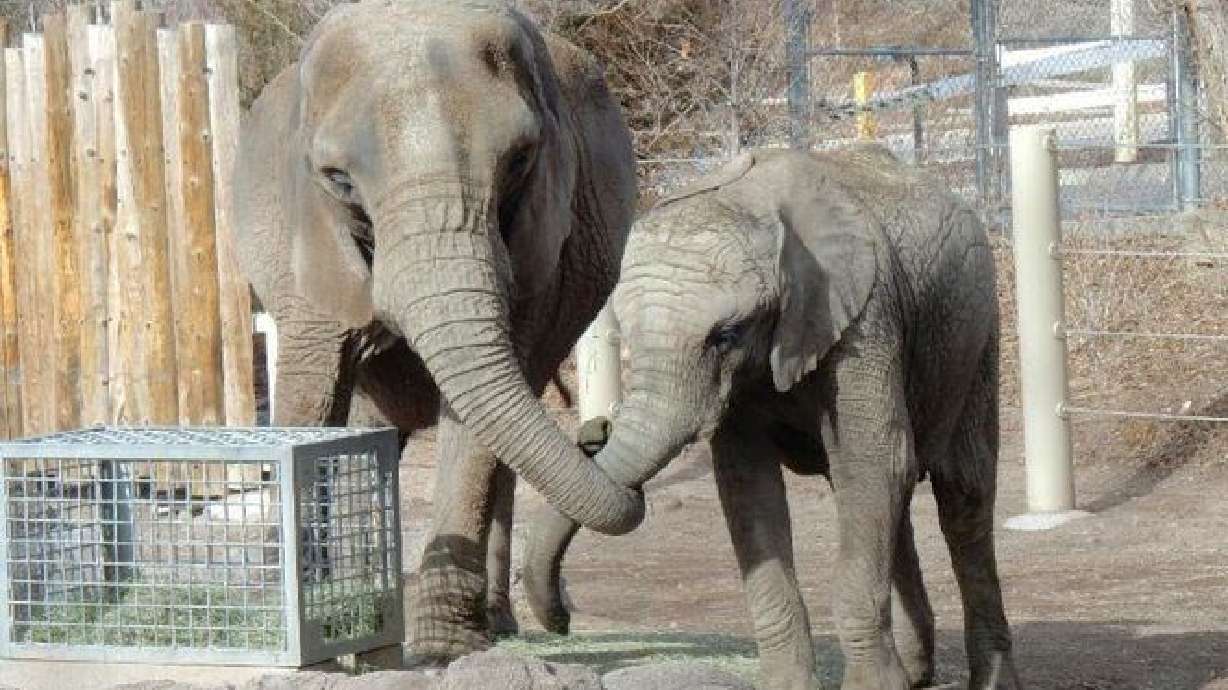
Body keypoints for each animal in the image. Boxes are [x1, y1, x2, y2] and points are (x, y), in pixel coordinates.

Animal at [233, 0, 649, 662]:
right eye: (338, 179)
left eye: (520, 160)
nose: (595, 434)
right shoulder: (305, 243)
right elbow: (313, 401)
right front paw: (308, 631)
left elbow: (478, 422)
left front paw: (441, 652)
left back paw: (493, 626)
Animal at [521, 146, 1021, 690]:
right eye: (625, 334)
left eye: (725, 335)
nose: (593, 433)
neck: (752, 203)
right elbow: (749, 486)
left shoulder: (866, 320)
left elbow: (875, 461)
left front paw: (872, 687)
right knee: (892, 496)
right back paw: (914, 674)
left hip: (977, 333)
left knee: (961, 495)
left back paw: (988, 680)